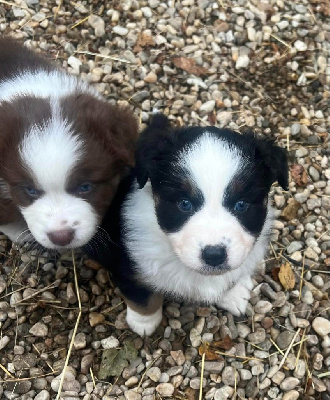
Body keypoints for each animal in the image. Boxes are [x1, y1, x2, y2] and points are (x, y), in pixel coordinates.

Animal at [96, 114, 288, 336]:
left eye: (241, 204)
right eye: (184, 204)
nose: (214, 255)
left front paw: (233, 295)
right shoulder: (130, 266)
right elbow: (142, 298)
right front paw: (144, 323)